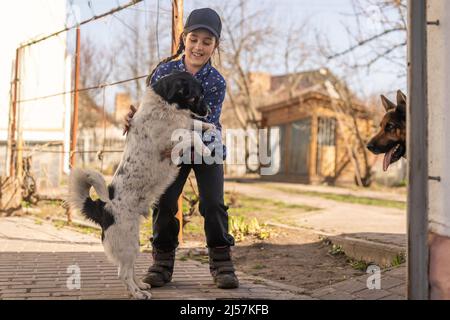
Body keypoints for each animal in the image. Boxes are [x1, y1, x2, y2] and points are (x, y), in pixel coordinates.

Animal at [67, 71, 214, 298]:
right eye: (195, 97)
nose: (209, 112)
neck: (165, 106)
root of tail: (102, 208)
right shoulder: (170, 142)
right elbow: (191, 135)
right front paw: (205, 148)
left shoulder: (183, 123)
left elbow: (192, 125)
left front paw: (208, 126)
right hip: (127, 243)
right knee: (122, 274)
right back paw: (137, 294)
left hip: (133, 242)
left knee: (130, 270)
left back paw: (140, 286)